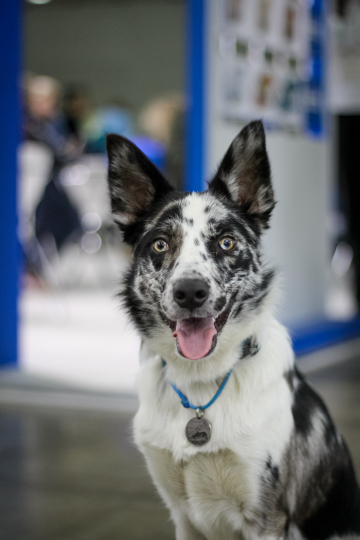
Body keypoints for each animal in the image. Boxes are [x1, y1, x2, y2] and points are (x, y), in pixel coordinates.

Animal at [106, 121, 360, 540]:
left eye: (226, 242)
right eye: (160, 244)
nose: (190, 292)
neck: (199, 384)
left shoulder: (267, 517)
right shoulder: (183, 516)